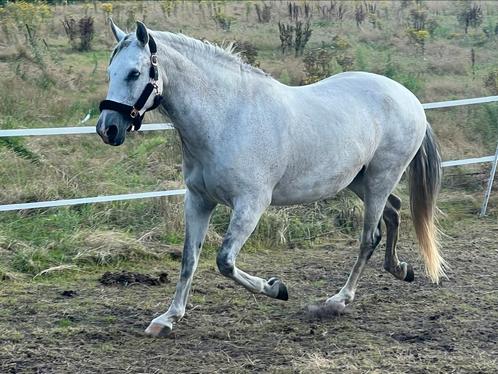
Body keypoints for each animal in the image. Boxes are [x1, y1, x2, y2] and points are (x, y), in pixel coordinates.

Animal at [95, 21, 446, 338]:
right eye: (110, 72)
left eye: (134, 73)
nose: (107, 129)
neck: (225, 118)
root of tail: (409, 98)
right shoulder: (198, 200)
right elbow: (188, 260)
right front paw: (168, 319)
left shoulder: (251, 205)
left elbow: (225, 261)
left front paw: (276, 288)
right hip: (360, 181)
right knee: (393, 211)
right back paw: (400, 270)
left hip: (379, 178)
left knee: (369, 237)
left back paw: (337, 301)